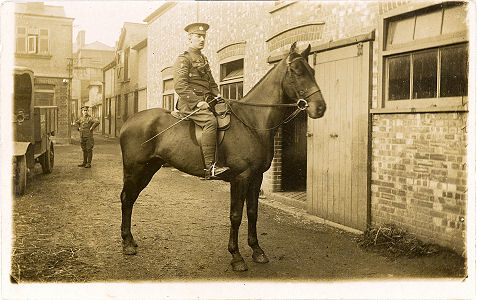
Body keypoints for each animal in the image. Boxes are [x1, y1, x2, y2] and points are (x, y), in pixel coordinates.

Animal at [120, 42, 328, 272]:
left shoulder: (256, 178)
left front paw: (257, 250)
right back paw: (127, 243)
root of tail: (129, 122)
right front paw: (236, 256)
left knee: (131, 198)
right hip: (135, 169)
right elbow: (236, 216)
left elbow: (253, 212)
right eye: (298, 72)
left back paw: (130, 241)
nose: (320, 107)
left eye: (313, 72)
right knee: (126, 198)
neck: (252, 123)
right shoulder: (240, 178)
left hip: (148, 168)